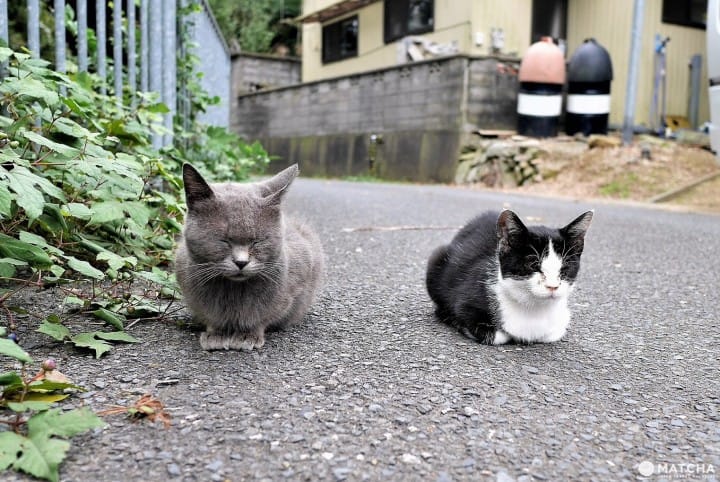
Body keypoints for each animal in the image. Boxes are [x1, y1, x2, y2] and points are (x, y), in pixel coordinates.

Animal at [174, 165, 324, 350]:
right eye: (224, 241)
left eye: (257, 242)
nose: (241, 262)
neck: (234, 291)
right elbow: (211, 317)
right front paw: (217, 334)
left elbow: (262, 317)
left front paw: (247, 335)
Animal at [424, 209, 592, 344]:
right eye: (533, 265)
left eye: (565, 267)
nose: (552, 286)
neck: (533, 308)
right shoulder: (465, 302)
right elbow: (496, 335)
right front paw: (457, 322)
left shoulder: (560, 321)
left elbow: (553, 333)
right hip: (438, 259)